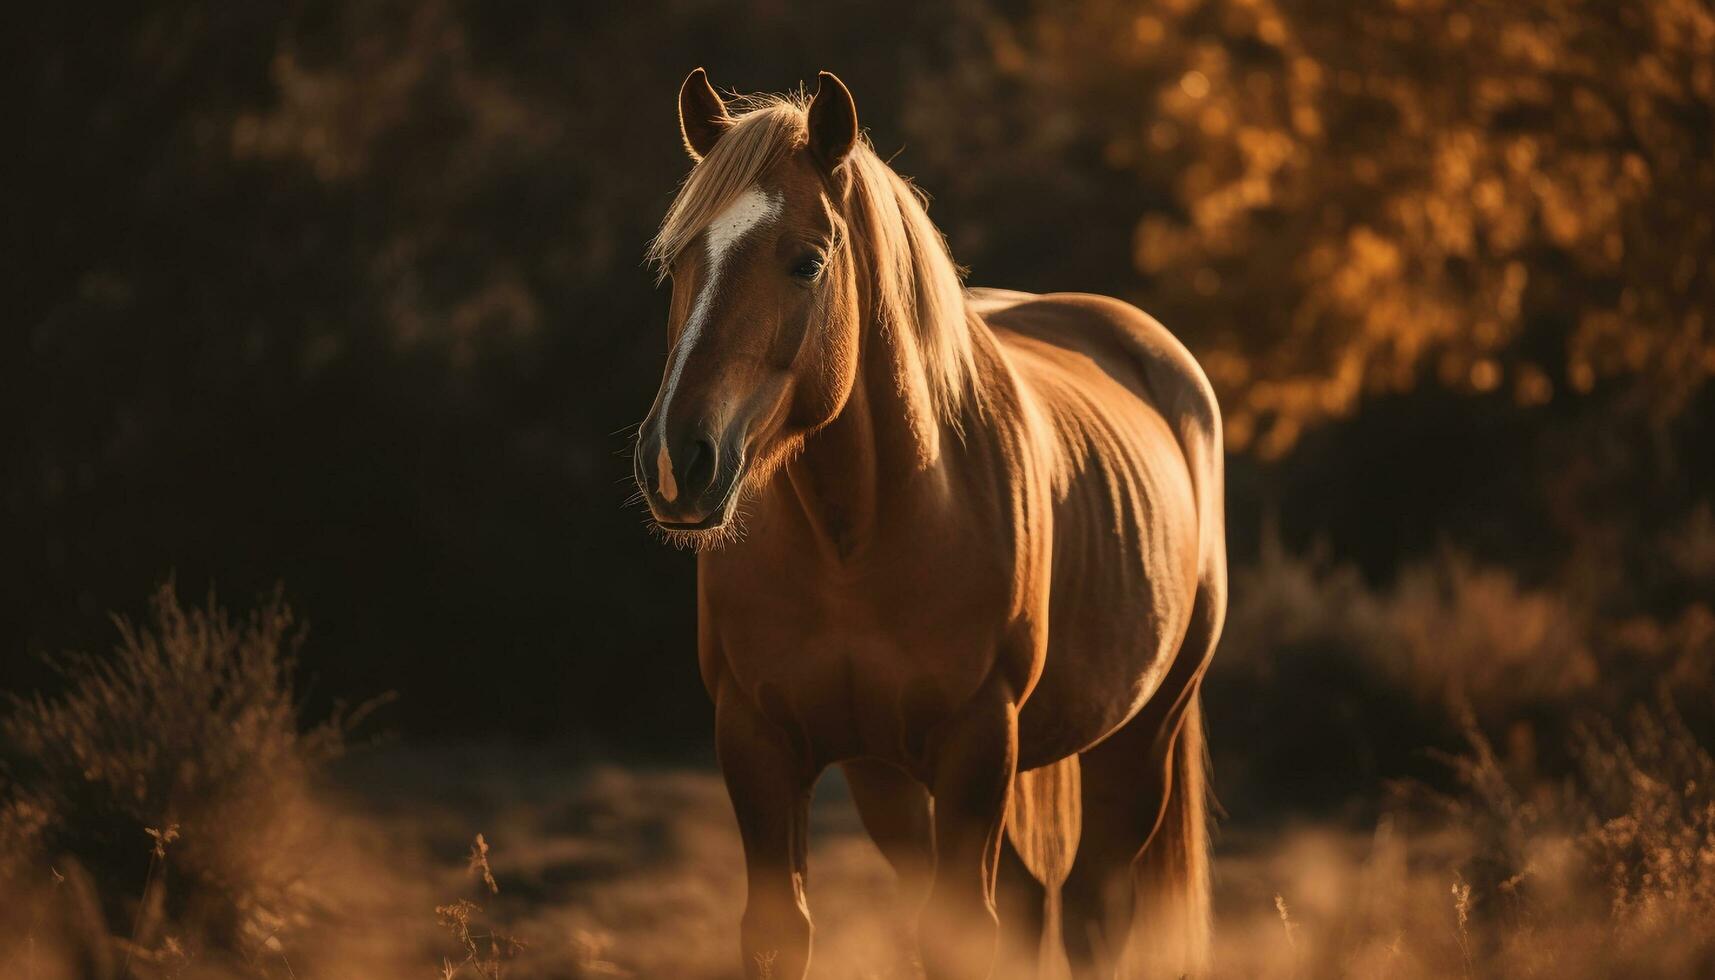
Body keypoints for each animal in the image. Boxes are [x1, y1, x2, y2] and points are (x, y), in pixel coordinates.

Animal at [637, 69, 1227, 980]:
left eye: (807, 261)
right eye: (677, 262)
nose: (677, 461)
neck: (854, 537)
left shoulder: (977, 743)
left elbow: (964, 938)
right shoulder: (758, 742)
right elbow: (780, 932)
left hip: (1141, 735)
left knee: (1090, 909)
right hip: (890, 782)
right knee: (1028, 899)